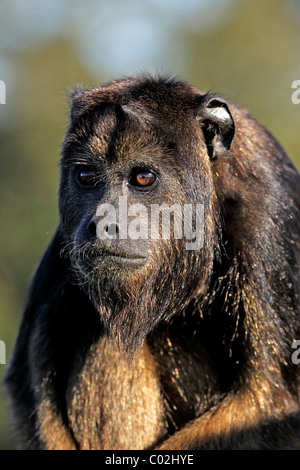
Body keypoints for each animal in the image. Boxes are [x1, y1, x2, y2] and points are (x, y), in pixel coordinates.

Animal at [4, 73, 300, 448]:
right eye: (86, 177)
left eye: (143, 178)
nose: (103, 222)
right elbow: (28, 382)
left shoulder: (265, 215)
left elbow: (266, 398)